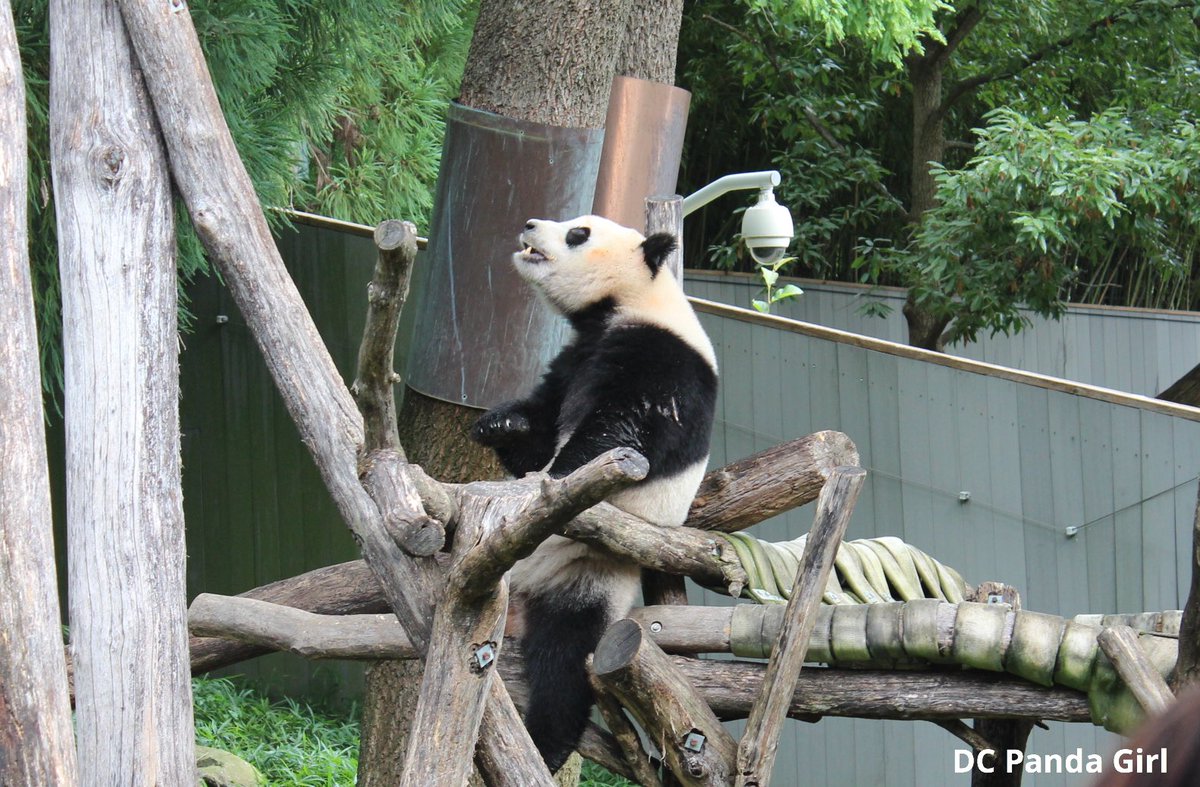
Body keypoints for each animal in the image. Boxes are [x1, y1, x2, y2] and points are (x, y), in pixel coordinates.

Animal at [471, 214, 718, 772]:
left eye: (578, 234)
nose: (530, 224)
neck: (631, 301)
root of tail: (526, 585)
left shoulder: (663, 358)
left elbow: (621, 432)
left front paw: (557, 476)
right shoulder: (574, 359)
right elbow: (541, 425)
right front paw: (501, 423)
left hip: (590, 574)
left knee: (564, 661)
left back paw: (545, 744)